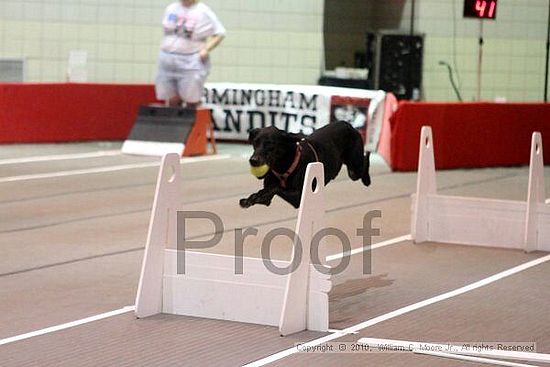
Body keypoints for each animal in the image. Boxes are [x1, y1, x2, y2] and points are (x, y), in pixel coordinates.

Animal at [240, 122, 374, 210]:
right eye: (255, 142)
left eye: (270, 144)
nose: (253, 161)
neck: (284, 166)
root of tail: (348, 124)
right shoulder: (269, 198)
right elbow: (267, 193)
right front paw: (251, 198)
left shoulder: (299, 197)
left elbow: (276, 188)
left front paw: (259, 195)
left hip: (354, 168)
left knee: (364, 163)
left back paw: (367, 176)